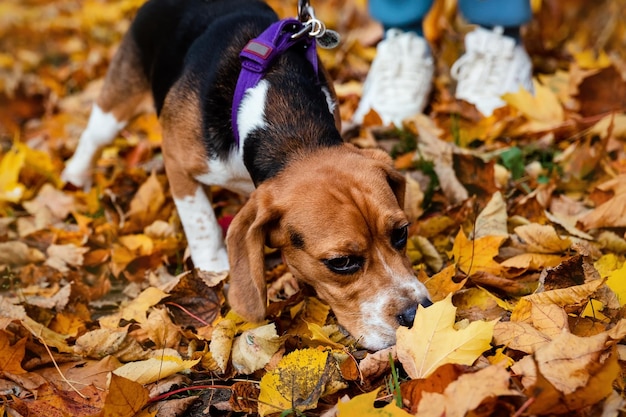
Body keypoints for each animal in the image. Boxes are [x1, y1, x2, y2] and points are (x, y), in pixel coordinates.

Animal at [61, 0, 432, 350]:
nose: (417, 315)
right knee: (94, 137)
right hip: (117, 101)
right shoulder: (176, 161)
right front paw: (213, 266)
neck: (293, 132)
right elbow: (199, 220)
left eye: (401, 233)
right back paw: (76, 176)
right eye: (341, 262)